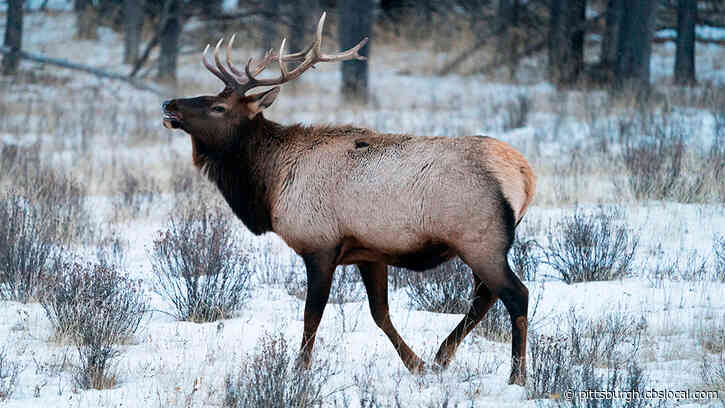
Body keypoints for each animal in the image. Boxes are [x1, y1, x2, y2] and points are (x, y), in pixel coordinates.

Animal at [161, 13, 535, 386]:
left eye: (218, 106)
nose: (169, 103)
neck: (269, 184)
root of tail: (524, 174)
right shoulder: (370, 252)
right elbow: (380, 313)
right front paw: (416, 364)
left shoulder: (320, 245)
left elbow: (312, 315)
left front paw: (299, 371)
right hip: (482, 243)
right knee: (485, 297)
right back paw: (442, 356)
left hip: (480, 240)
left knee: (515, 294)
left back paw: (516, 376)